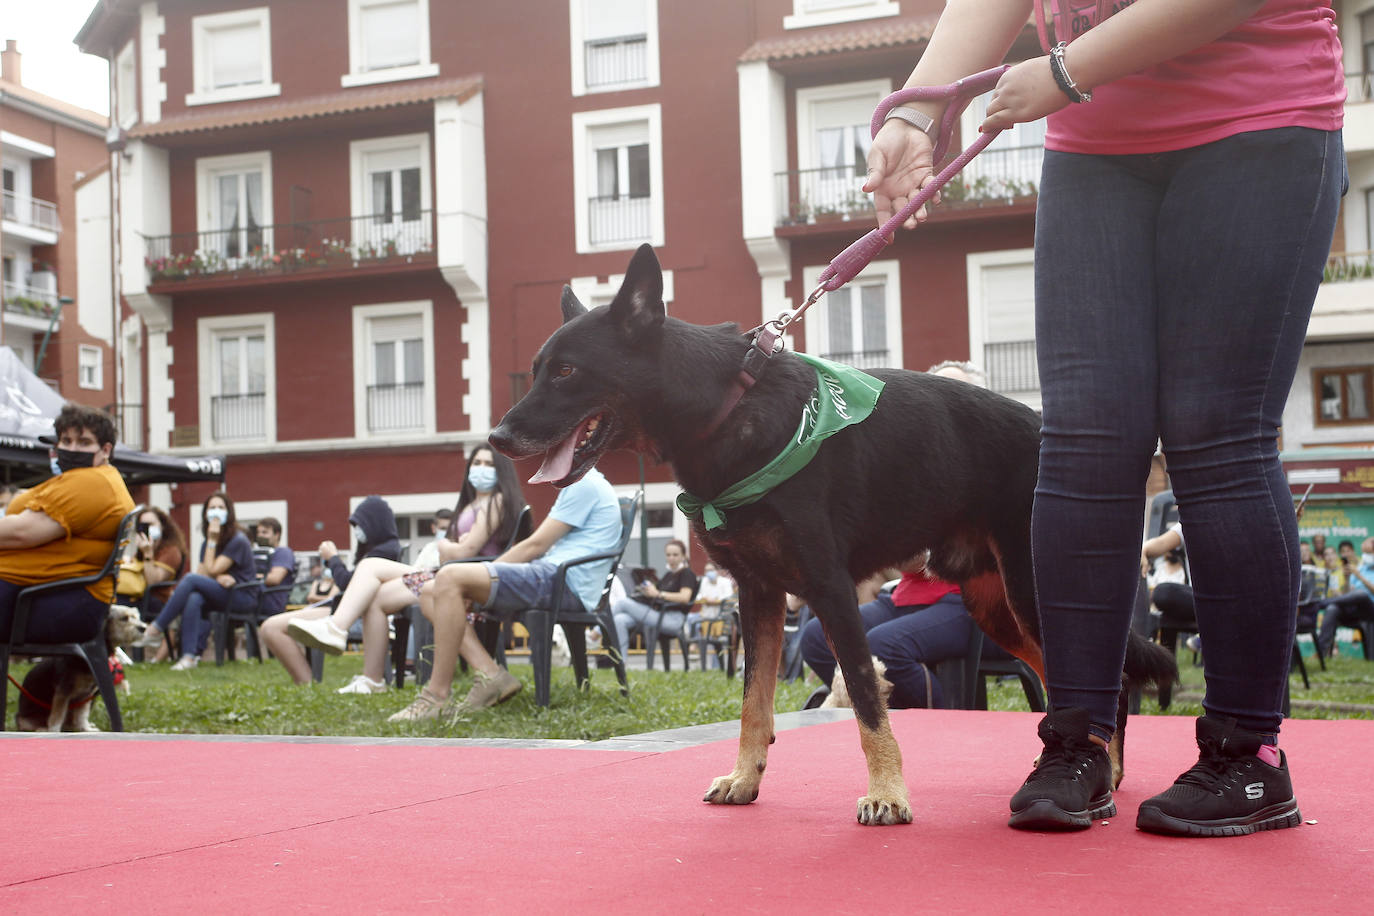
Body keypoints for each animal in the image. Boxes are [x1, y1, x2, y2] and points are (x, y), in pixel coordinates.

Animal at [15, 604, 144, 736]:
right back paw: (43, 729)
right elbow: (57, 715)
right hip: (26, 721)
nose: (143, 628)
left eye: (136, 617)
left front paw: (85, 728)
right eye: (124, 618)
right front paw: (54, 730)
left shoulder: (86, 695)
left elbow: (82, 715)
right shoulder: (63, 692)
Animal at [489, 247, 1176, 829]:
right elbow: (754, 704)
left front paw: (888, 793)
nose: (497, 437)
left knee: (1110, 682)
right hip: (999, 611)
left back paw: (1105, 772)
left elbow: (869, 701)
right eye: (537, 371)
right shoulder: (759, 598)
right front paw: (746, 778)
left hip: (1032, 594)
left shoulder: (831, 592)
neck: (729, 411)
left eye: (568, 372)